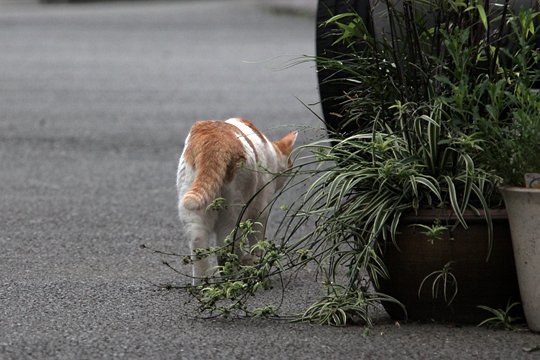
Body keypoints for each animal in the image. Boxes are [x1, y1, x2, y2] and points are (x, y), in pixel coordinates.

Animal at [177, 116, 298, 282]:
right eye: (290, 163)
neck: (270, 152)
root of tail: (215, 140)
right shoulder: (261, 212)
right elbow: (257, 244)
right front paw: (256, 267)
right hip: (234, 213)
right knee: (227, 248)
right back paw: (234, 277)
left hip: (193, 215)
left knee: (199, 247)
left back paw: (205, 285)